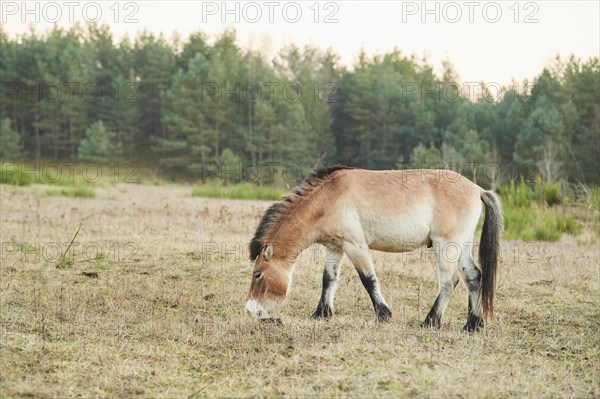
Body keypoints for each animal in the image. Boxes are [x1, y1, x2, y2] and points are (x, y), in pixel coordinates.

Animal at [244, 166, 502, 332]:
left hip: (446, 245)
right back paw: (472, 325)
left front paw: (383, 314)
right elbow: (328, 279)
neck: (329, 199)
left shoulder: (355, 246)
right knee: (473, 277)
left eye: (258, 274)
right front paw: (321, 314)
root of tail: (478, 189)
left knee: (450, 281)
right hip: (461, 246)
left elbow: (368, 279)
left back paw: (430, 322)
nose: (249, 310)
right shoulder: (334, 248)